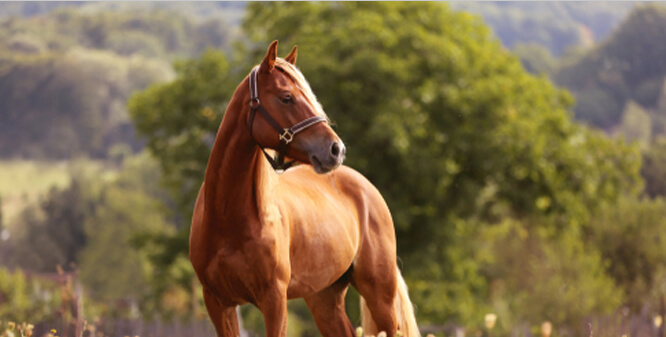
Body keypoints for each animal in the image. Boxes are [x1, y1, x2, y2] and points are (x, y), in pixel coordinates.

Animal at [189, 41, 418, 336]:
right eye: (286, 97)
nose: (336, 149)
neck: (228, 220)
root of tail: (367, 189)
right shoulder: (218, 303)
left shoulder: (274, 300)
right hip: (324, 297)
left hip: (380, 295)